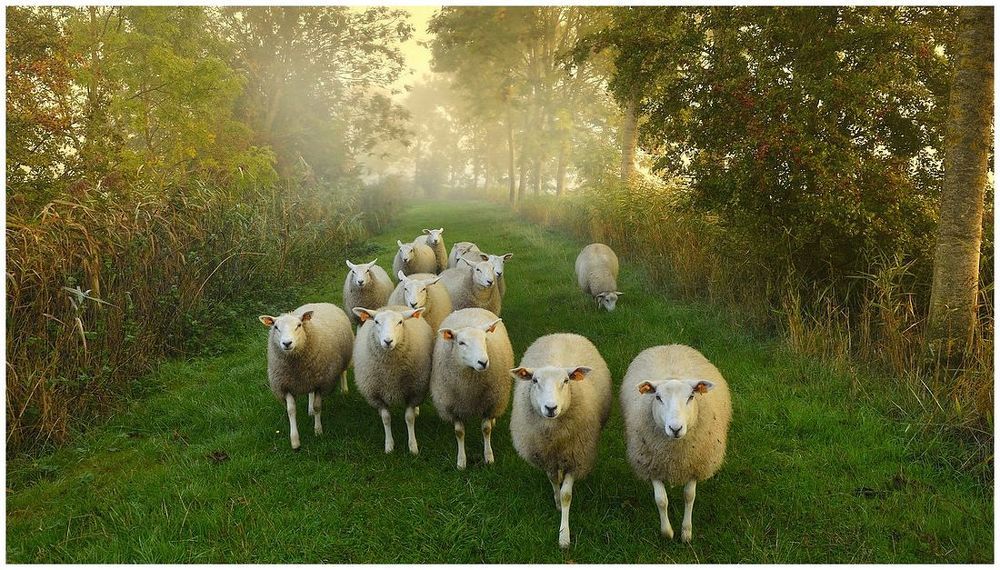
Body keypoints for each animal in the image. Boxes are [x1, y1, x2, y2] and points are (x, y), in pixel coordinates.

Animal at [258, 303, 354, 450]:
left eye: (299, 325)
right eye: (276, 327)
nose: (287, 343)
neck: (296, 366)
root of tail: (321, 303)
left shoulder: (321, 383)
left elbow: (318, 407)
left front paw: (318, 430)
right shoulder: (285, 386)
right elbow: (291, 410)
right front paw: (295, 441)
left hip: (344, 358)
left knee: (343, 372)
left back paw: (344, 390)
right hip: (309, 377)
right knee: (310, 392)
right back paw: (309, 409)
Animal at [351, 305, 435, 455]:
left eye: (400, 322)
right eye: (376, 322)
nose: (388, 341)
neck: (391, 375)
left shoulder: (414, 391)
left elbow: (409, 418)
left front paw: (413, 446)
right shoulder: (377, 395)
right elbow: (386, 418)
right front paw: (389, 445)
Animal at [430, 308, 514, 470]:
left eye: (485, 339)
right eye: (461, 343)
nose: (483, 362)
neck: (470, 388)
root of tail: (470, 308)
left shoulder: (490, 402)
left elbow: (486, 429)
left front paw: (489, 456)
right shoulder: (453, 407)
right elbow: (459, 432)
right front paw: (461, 461)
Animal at [508, 333, 612, 549]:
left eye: (565, 381)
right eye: (535, 380)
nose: (551, 408)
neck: (554, 437)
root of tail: (563, 333)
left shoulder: (576, 456)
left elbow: (567, 494)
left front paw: (564, 536)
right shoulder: (546, 456)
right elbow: (553, 480)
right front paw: (556, 502)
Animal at [620, 344, 732, 543]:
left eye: (691, 396)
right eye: (658, 397)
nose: (675, 428)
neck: (675, 454)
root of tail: (670, 345)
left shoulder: (695, 464)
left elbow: (689, 496)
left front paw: (686, 532)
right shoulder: (652, 464)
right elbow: (661, 500)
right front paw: (667, 532)